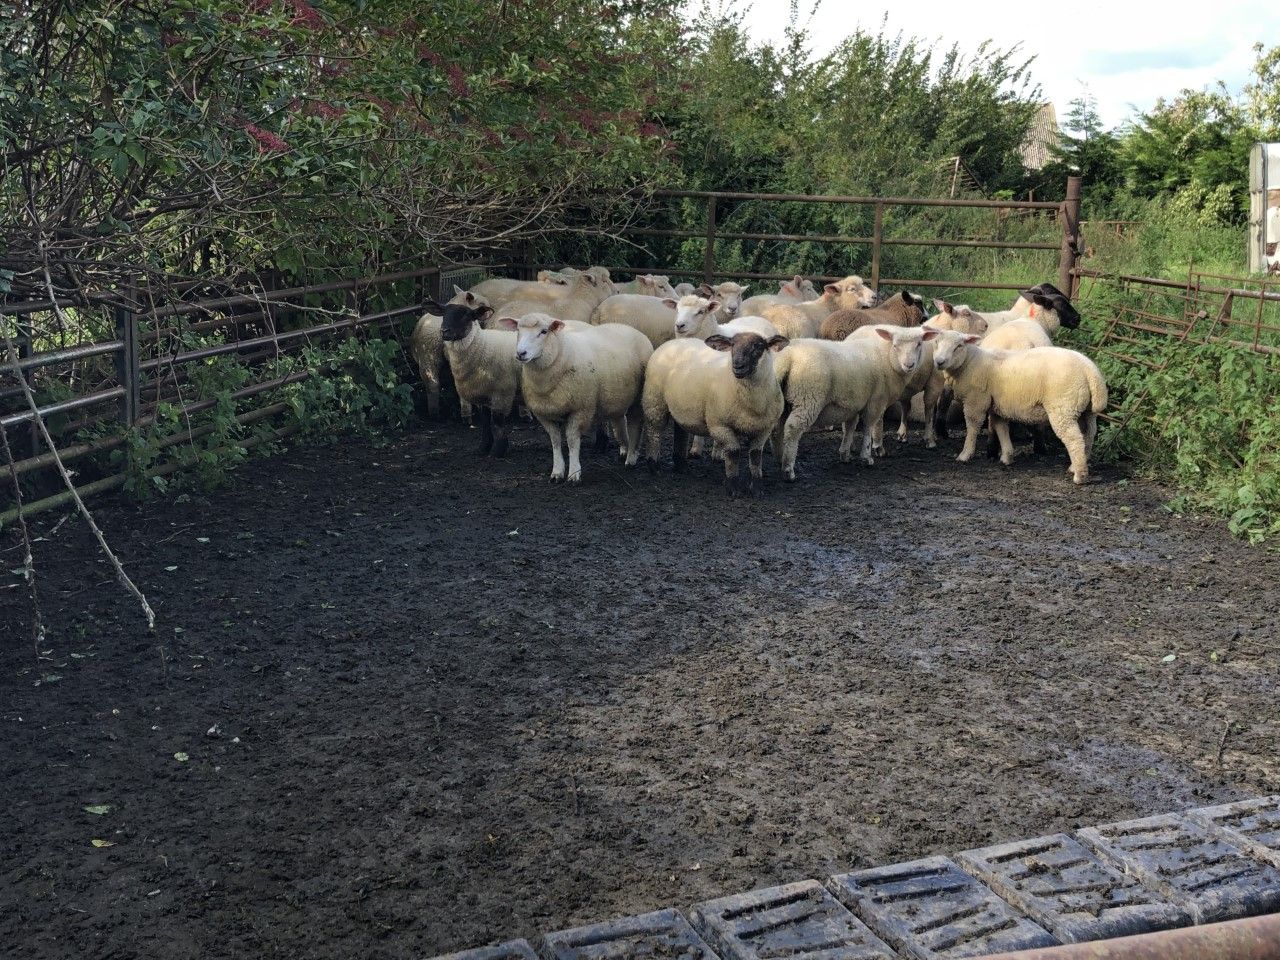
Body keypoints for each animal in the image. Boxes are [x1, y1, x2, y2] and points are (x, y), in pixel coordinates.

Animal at [422, 299, 522, 456]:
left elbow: (497, 422)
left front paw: (497, 451)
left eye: (466, 315)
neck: (483, 346)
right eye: (444, 313)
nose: (444, 331)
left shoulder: (502, 392)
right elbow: (485, 421)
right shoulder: (483, 393)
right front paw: (483, 447)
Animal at [497, 313, 652, 483]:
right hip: (615, 397)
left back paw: (631, 458)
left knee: (635, 425)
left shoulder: (580, 410)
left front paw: (573, 474)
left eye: (544, 331)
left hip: (637, 399)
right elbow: (555, 441)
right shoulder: (544, 413)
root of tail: (627, 327)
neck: (561, 353)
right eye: (518, 330)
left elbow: (572, 441)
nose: (521, 353)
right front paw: (557, 472)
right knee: (619, 420)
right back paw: (624, 448)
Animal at [641, 332, 789, 497]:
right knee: (654, 431)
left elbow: (756, 456)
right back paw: (654, 466)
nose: (738, 366)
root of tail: (672, 342)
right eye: (732, 345)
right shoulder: (719, 425)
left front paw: (757, 488)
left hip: (680, 405)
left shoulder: (764, 429)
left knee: (680, 431)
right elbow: (733, 452)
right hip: (654, 401)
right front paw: (733, 487)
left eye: (758, 346)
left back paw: (681, 465)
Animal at [772, 326, 935, 479]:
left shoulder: (854, 404)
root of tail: (788, 358)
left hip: (783, 401)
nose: (909, 365)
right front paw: (867, 456)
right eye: (895, 345)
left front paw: (845, 454)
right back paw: (788, 469)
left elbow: (850, 427)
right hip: (808, 398)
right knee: (793, 428)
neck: (887, 358)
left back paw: (780, 458)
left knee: (777, 429)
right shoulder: (875, 401)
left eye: (919, 344)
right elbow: (868, 427)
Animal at [930, 331, 1107, 484]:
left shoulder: (976, 401)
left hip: (1063, 407)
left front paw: (965, 454)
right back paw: (1076, 465)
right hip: (1086, 410)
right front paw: (1007, 456)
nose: (939, 362)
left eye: (959, 346)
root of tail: (1090, 370)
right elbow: (1001, 427)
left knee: (1074, 439)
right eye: (936, 342)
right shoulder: (998, 406)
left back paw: (1079, 475)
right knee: (1088, 435)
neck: (969, 362)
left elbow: (973, 427)